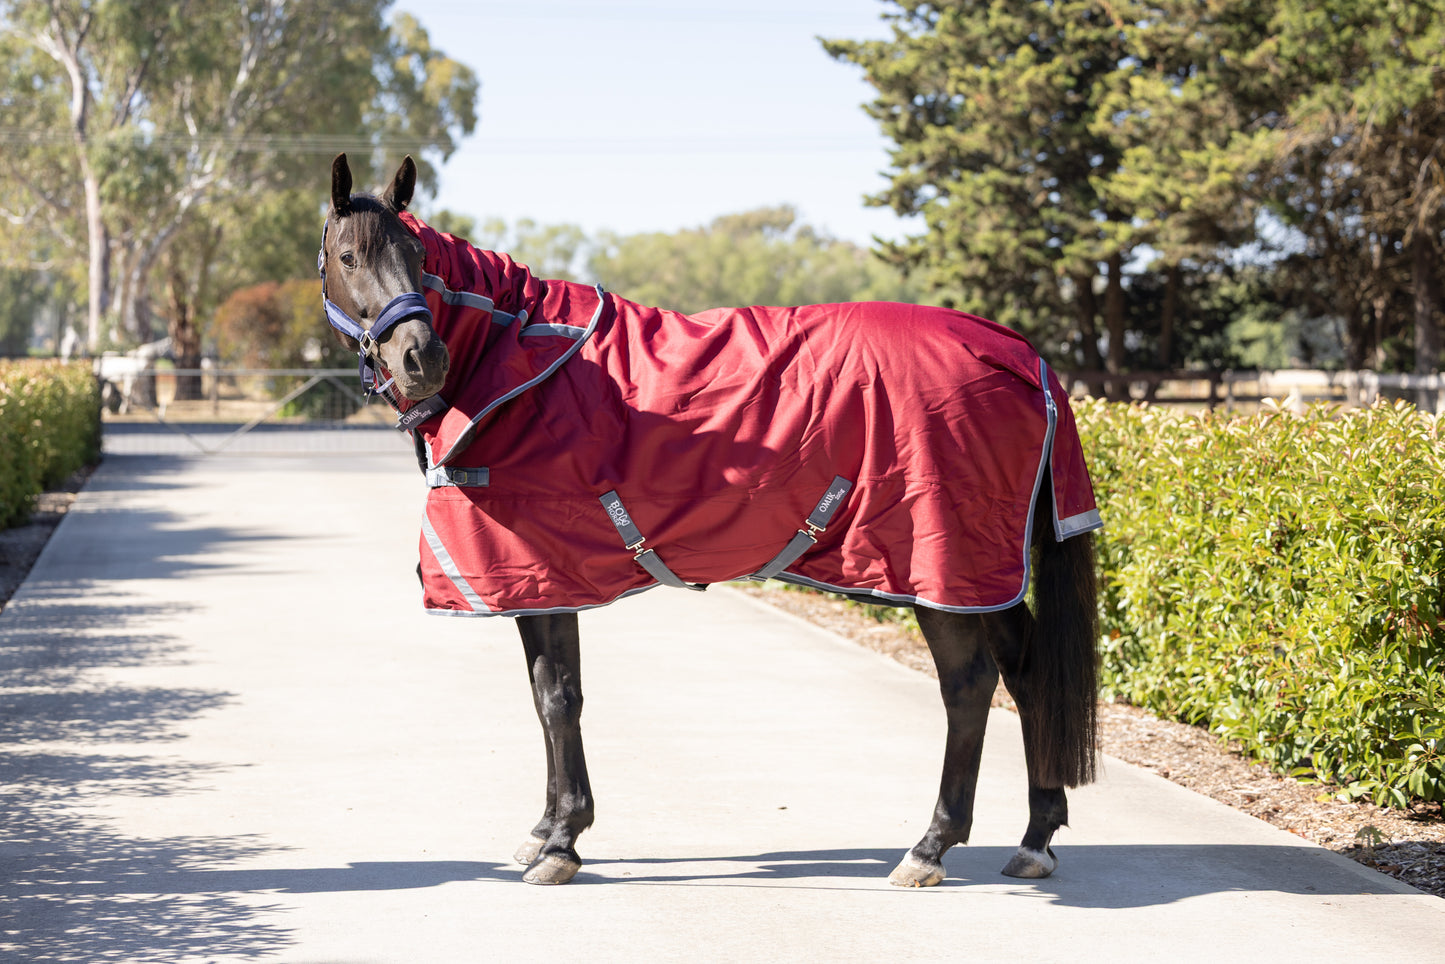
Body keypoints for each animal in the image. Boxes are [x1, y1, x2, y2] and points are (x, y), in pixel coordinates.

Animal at [317, 153, 1102, 887]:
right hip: (985, 573)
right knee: (1026, 671)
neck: (520, 365)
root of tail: (1018, 353)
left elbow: (560, 698)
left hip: (939, 571)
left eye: (419, 258)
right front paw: (542, 830)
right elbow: (544, 696)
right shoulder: (527, 584)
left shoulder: (546, 576)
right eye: (349, 257)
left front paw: (564, 841)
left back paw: (930, 846)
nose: (420, 357)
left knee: (968, 687)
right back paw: (1035, 838)